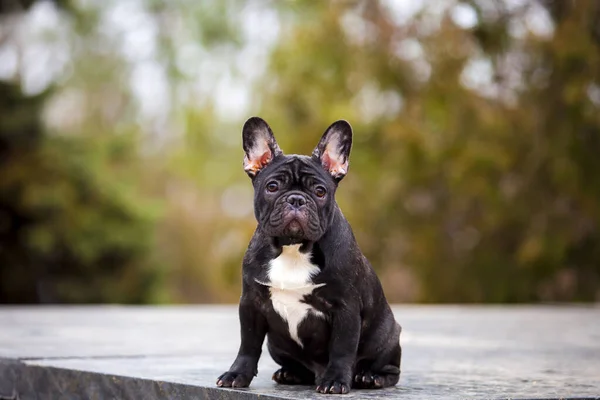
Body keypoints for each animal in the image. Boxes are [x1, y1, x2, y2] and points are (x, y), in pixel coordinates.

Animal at [217, 117, 404, 396]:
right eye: (272, 187)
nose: (296, 199)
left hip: (387, 335)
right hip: (276, 344)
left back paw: (371, 377)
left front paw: (336, 380)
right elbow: (248, 344)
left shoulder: (346, 308)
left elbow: (342, 348)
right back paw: (290, 373)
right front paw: (237, 374)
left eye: (320, 192)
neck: (293, 247)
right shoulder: (251, 303)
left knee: (389, 368)